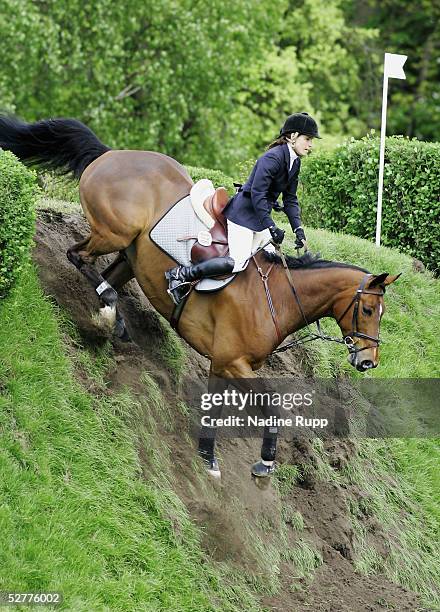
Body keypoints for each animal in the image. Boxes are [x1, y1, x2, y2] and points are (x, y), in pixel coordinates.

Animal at [0, 115, 400, 478]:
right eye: (367, 309)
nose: (369, 361)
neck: (278, 297)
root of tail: (111, 153)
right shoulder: (232, 360)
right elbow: (271, 406)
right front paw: (265, 461)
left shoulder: (221, 363)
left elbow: (215, 410)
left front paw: (207, 456)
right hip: (114, 232)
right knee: (78, 256)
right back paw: (114, 313)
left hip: (130, 253)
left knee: (104, 273)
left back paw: (111, 319)